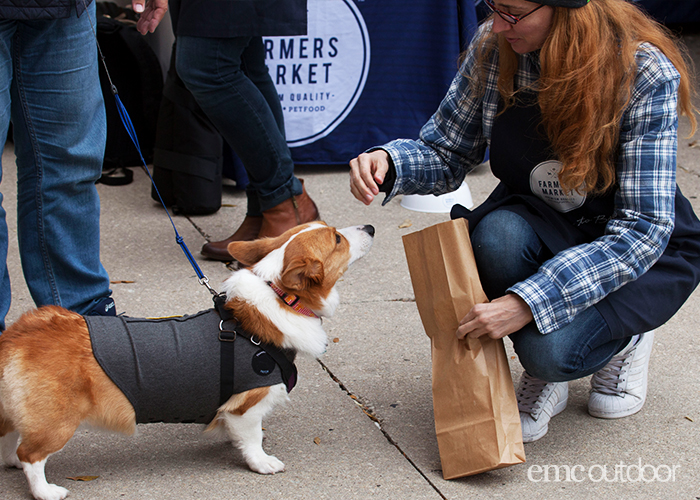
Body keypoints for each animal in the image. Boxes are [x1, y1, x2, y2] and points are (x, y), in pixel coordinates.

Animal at [0, 223, 374, 500]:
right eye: (337, 239)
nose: (370, 226)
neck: (281, 298)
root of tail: (19, 335)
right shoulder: (248, 404)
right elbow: (252, 439)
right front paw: (262, 462)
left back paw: (10, 462)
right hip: (58, 422)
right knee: (31, 455)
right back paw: (46, 490)